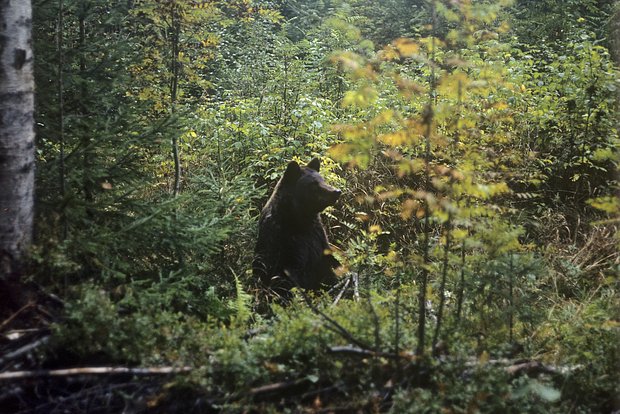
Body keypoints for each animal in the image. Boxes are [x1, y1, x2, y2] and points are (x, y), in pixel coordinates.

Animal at [253, 158, 344, 298]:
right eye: (314, 184)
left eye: (322, 179)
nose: (336, 192)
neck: (300, 219)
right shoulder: (287, 244)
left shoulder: (317, 236)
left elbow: (329, 264)